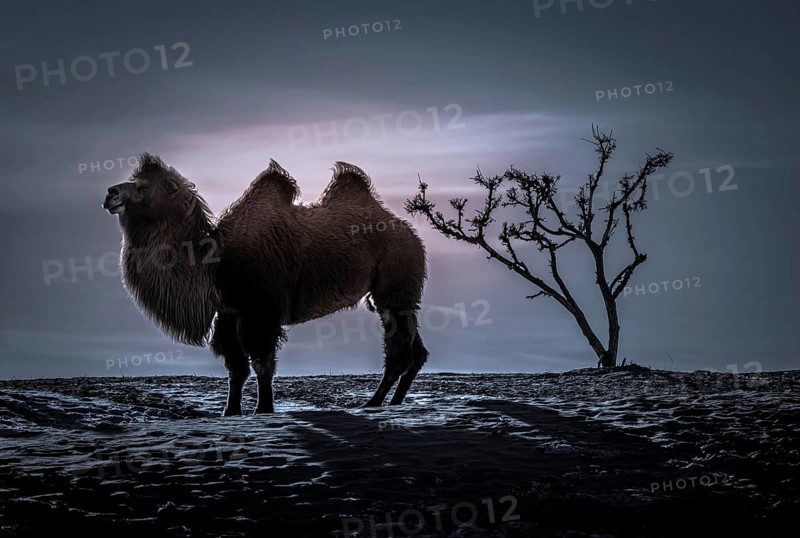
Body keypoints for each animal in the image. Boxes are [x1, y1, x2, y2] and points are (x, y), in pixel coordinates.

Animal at [103, 154, 428, 415]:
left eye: (143, 187)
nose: (110, 192)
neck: (216, 261)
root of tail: (411, 233)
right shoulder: (229, 312)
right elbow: (235, 367)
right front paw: (230, 411)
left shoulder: (260, 310)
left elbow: (261, 362)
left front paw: (263, 409)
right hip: (393, 296)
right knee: (416, 351)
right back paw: (394, 401)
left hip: (395, 283)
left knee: (399, 350)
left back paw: (373, 402)